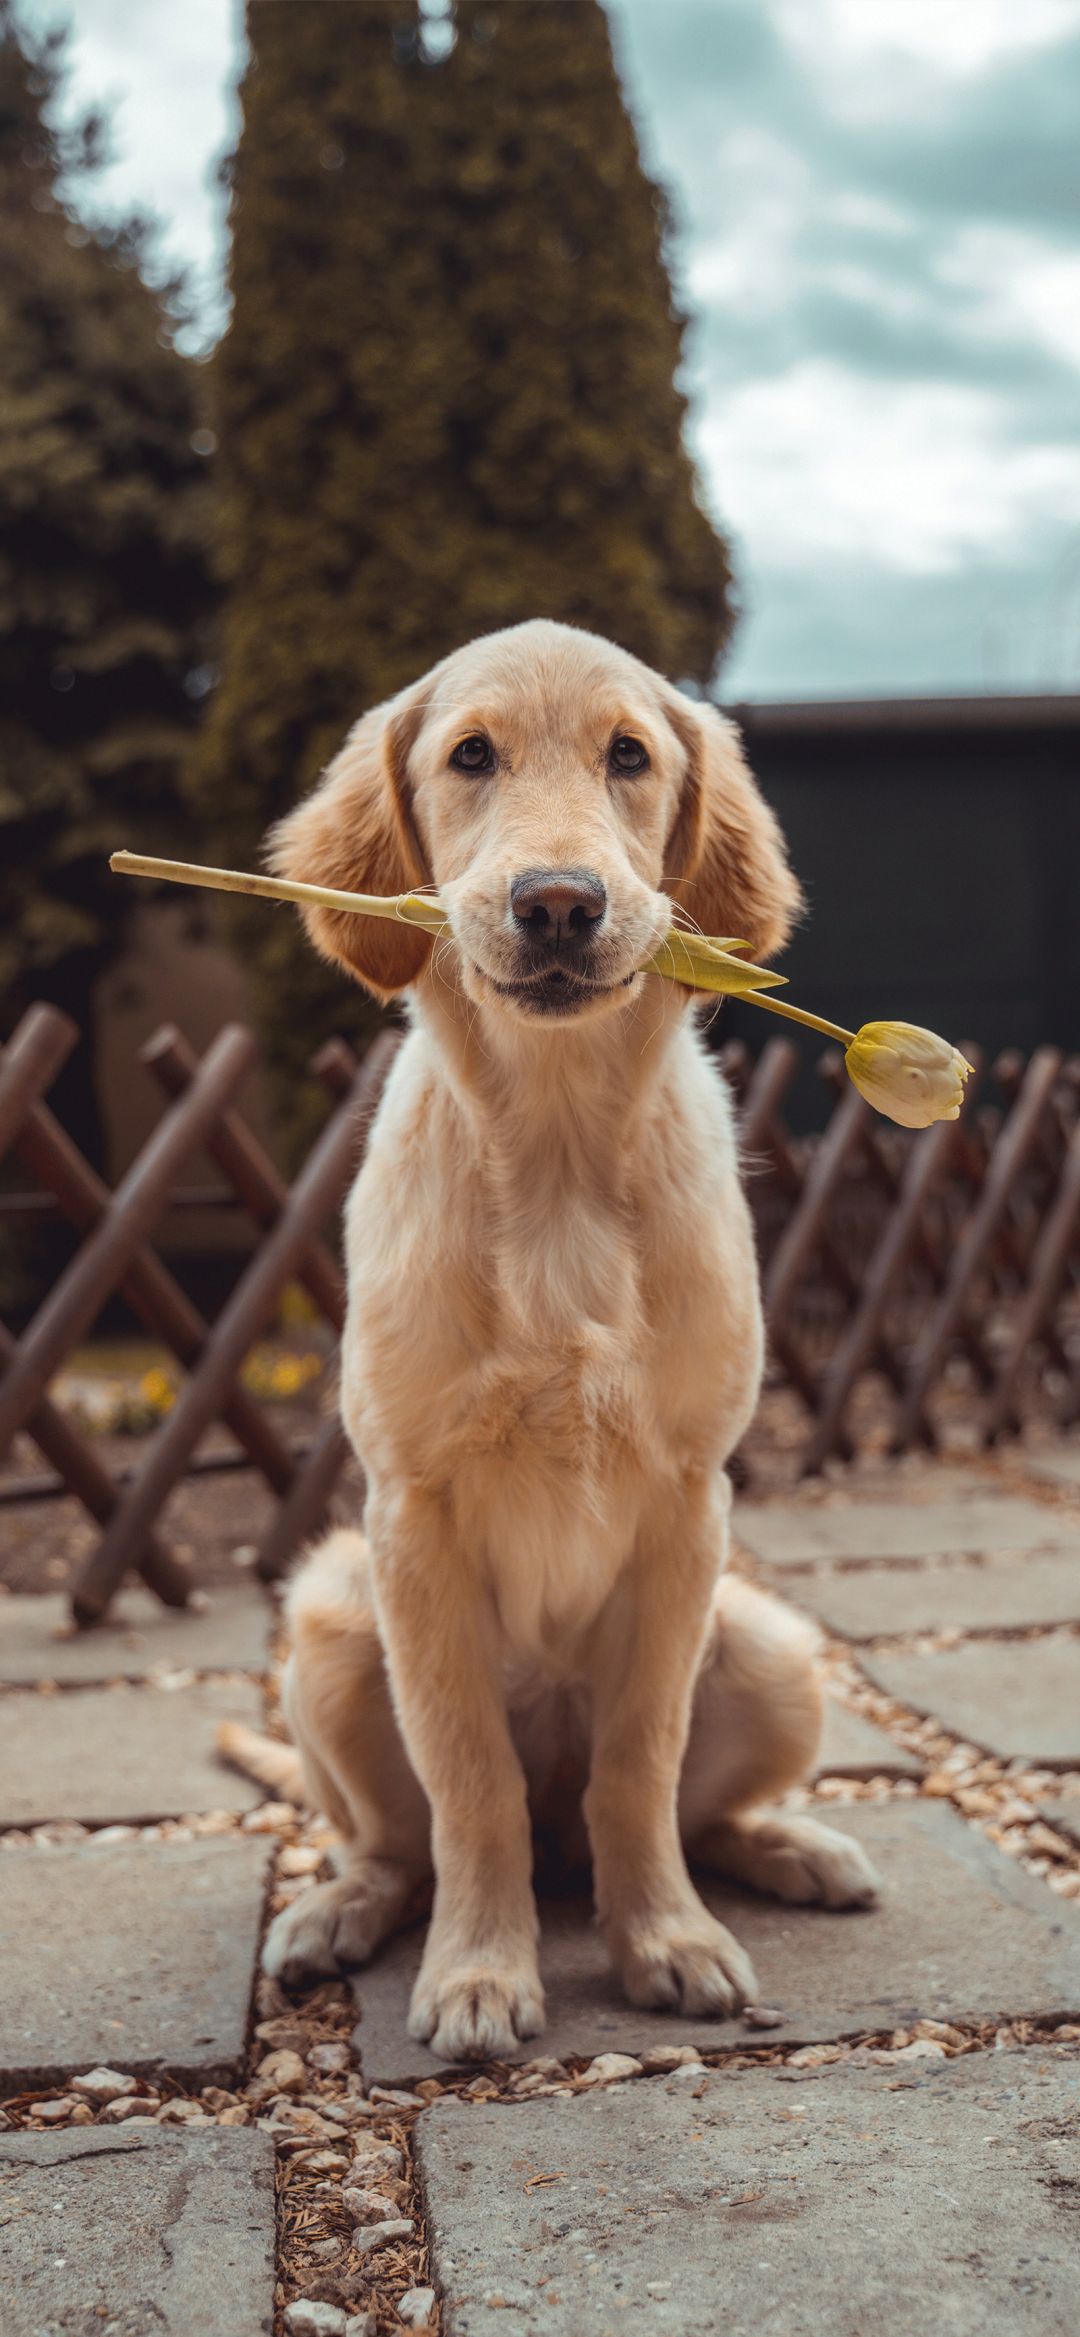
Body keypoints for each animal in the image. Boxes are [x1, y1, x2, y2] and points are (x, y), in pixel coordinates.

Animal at [246, 621, 878, 2065]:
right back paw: (335, 1913)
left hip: (772, 1646)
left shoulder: (687, 1505)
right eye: (471, 755)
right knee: (400, 1841)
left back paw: (791, 1849)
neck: (556, 1152)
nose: (555, 905)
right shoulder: (412, 1515)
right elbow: (467, 1777)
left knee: (683, 1811)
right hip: (330, 1622)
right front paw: (483, 1970)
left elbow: (640, 1761)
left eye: (629, 757)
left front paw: (668, 1942)